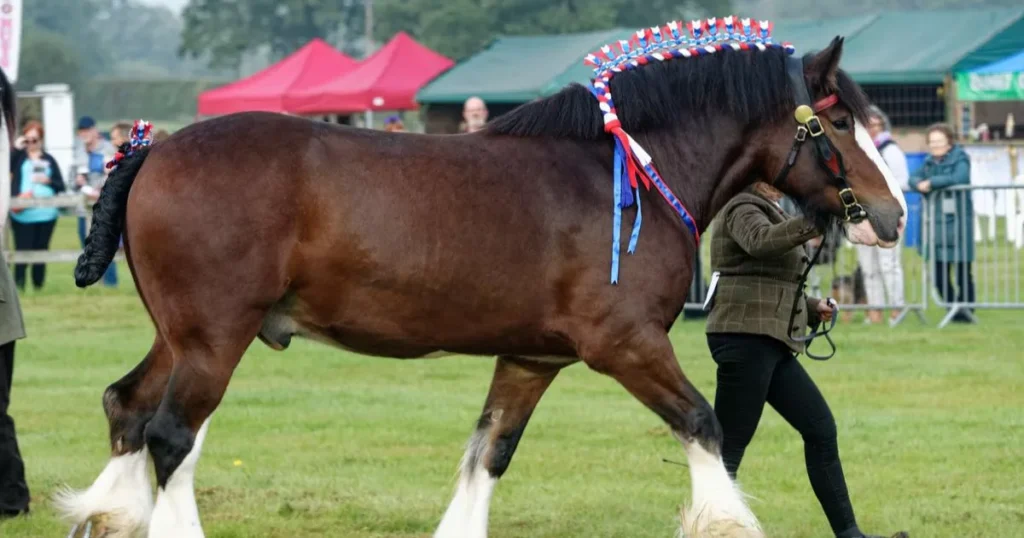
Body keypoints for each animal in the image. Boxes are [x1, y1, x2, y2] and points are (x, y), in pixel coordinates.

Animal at [59, 27, 905, 536]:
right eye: (836, 122)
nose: (892, 216)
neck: (624, 173)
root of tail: (151, 151)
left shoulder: (532, 358)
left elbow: (489, 452)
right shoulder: (625, 346)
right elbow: (704, 423)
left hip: (181, 336)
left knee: (128, 408)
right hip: (214, 336)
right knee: (170, 434)